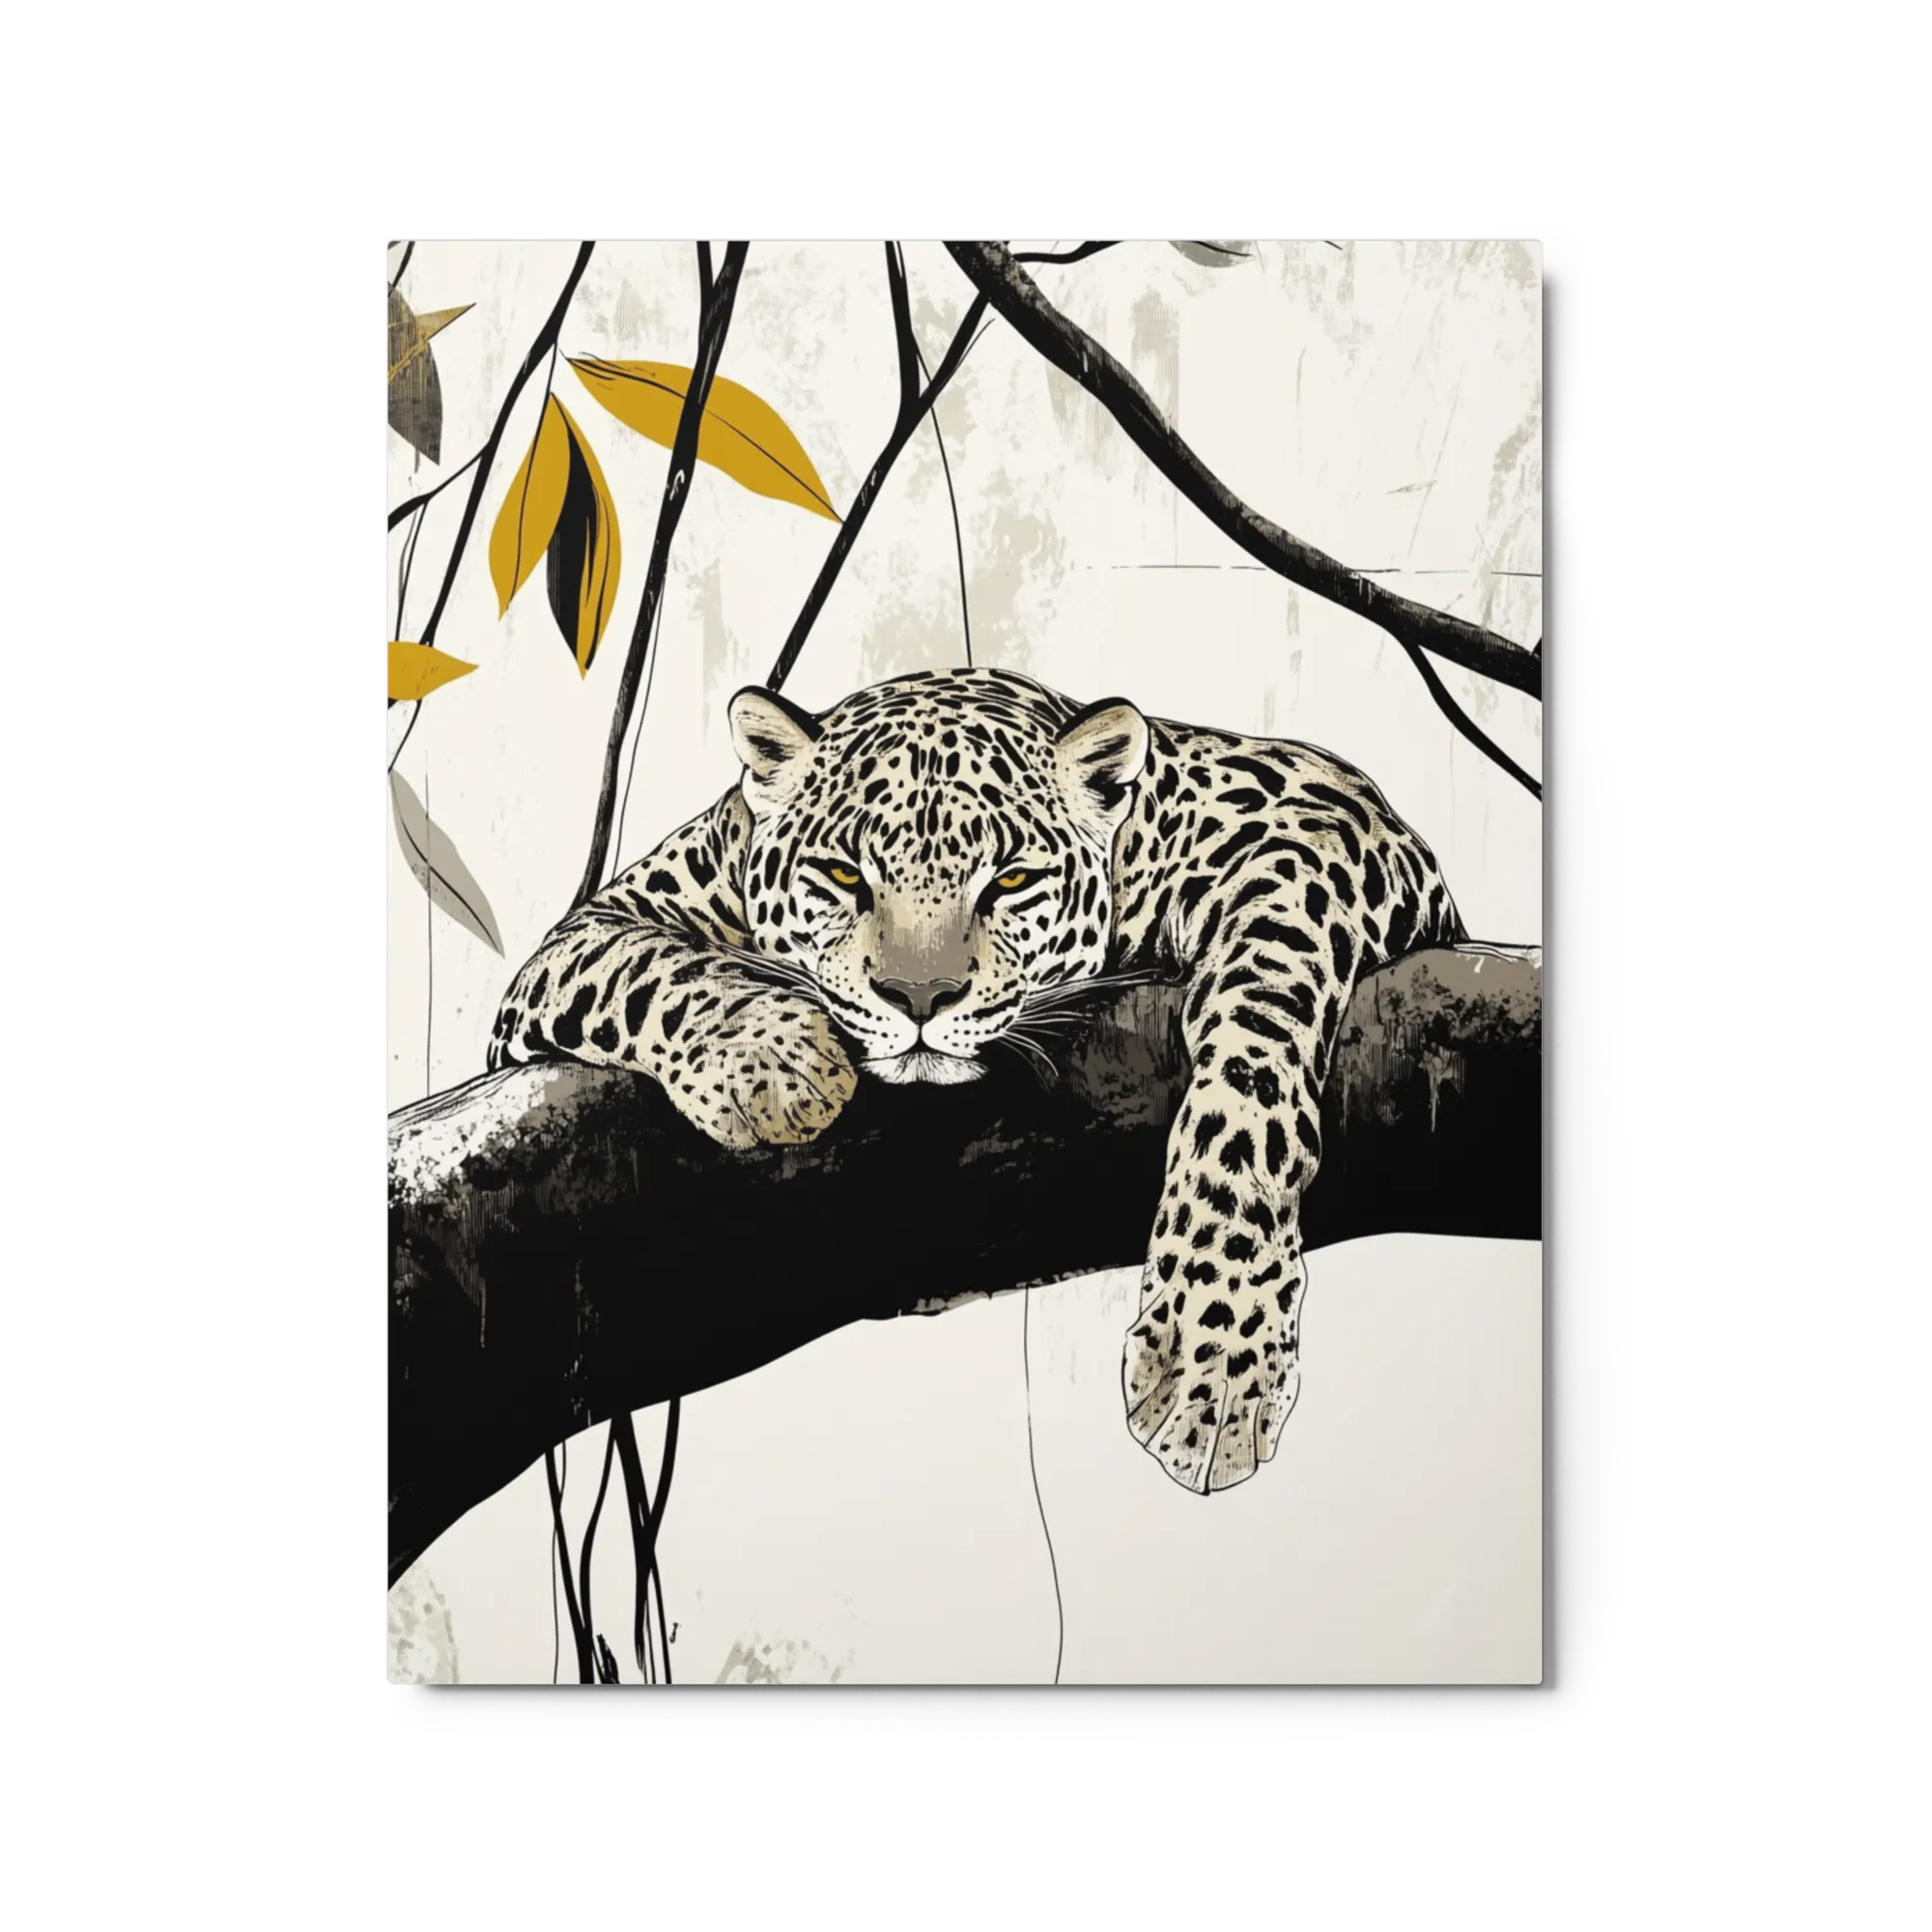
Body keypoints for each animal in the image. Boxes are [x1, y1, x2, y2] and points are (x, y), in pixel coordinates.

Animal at [488, 667, 1463, 1495]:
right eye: (842, 874)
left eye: (1013, 879)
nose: (919, 996)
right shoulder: (583, 936)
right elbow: (646, 969)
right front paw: (776, 1061)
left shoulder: (1322, 814)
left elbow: (1255, 1038)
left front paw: (1209, 1356)